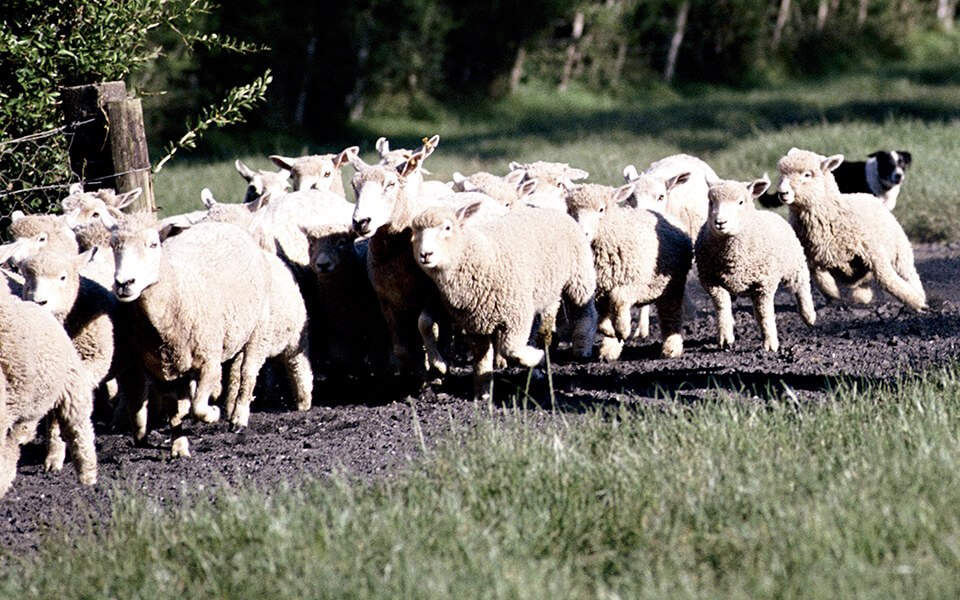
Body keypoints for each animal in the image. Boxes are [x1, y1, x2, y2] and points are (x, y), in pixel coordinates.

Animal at [110, 217, 276, 457]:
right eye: (114, 245)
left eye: (153, 244)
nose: (124, 283)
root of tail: (224, 224)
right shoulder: (160, 372)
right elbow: (174, 411)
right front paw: (179, 447)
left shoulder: (209, 362)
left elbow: (199, 408)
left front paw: (213, 413)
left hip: (259, 325)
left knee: (248, 371)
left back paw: (239, 418)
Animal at [411, 201, 597, 400]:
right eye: (415, 231)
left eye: (447, 227)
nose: (425, 254)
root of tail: (549, 208)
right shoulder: (474, 322)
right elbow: (481, 356)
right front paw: (483, 391)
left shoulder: (516, 314)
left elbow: (511, 350)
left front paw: (538, 358)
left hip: (579, 275)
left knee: (586, 310)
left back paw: (582, 345)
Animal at [565, 183, 693, 360]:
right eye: (570, 209)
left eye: (601, 209)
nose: (582, 232)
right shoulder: (597, 292)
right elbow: (602, 319)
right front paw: (611, 333)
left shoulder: (637, 285)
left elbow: (618, 298)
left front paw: (623, 330)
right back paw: (609, 350)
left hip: (671, 286)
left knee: (671, 315)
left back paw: (671, 348)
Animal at [695, 176, 816, 352]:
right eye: (711, 201)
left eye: (740, 202)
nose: (720, 222)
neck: (732, 256)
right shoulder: (712, 282)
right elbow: (722, 308)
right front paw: (725, 337)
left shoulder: (764, 284)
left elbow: (765, 313)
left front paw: (770, 345)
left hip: (794, 264)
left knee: (802, 287)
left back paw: (809, 316)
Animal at [775, 148, 926, 311]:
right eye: (782, 174)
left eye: (807, 174)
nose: (783, 193)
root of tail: (866, 195)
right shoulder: (813, 257)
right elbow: (821, 281)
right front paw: (834, 297)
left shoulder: (872, 250)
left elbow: (886, 279)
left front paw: (916, 301)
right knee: (863, 284)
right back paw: (862, 298)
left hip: (901, 251)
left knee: (909, 274)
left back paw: (920, 295)